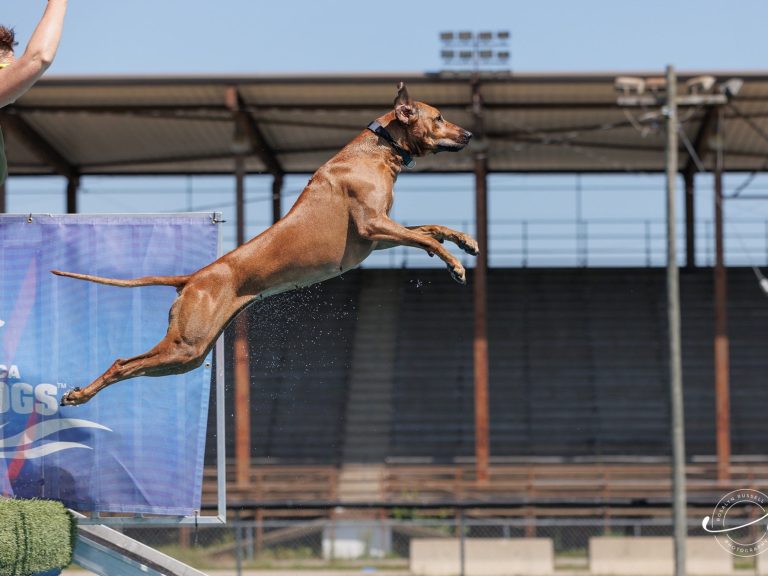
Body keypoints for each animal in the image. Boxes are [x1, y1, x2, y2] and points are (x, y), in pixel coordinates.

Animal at [52, 82, 474, 404]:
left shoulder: (378, 236)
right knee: (122, 363)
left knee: (135, 366)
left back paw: (81, 395)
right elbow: (422, 237)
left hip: (190, 355)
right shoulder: (373, 226)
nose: (470, 134)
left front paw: (465, 241)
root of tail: (192, 278)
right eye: (439, 117)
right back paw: (80, 396)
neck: (377, 150)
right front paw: (454, 264)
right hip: (186, 344)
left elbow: (429, 230)